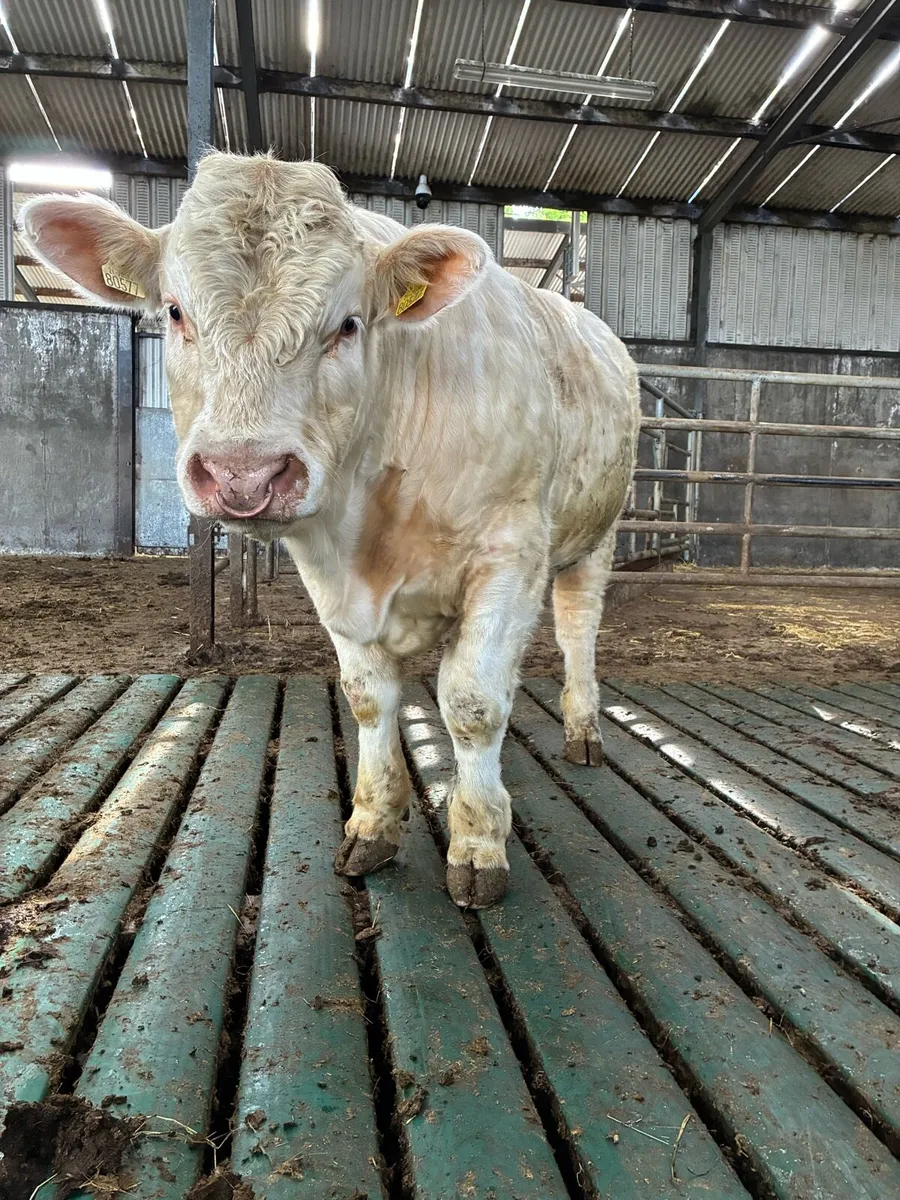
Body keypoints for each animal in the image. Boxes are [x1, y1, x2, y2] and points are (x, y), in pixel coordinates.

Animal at [22, 152, 640, 909]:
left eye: (348, 324)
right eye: (173, 310)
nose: (243, 473)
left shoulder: (509, 554)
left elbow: (472, 702)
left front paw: (478, 842)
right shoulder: (328, 577)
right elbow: (371, 698)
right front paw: (374, 824)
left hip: (595, 535)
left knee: (576, 629)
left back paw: (582, 730)